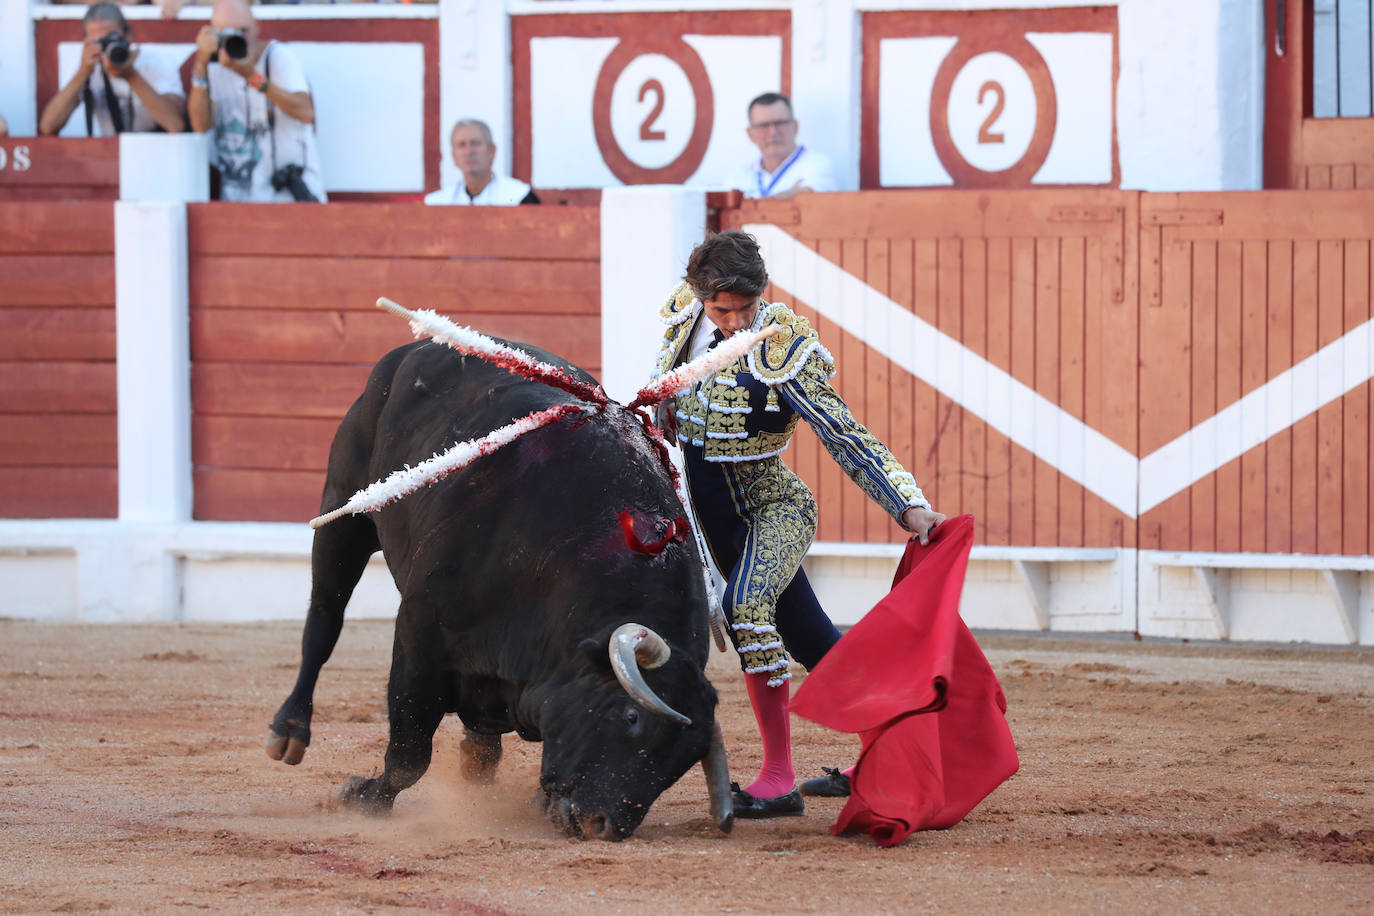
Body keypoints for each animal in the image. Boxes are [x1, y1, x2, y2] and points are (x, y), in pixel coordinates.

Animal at [270, 340, 741, 840]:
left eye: (683, 761)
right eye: (630, 717)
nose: (603, 824)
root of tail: (414, 348)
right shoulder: (419, 633)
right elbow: (409, 753)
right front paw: (361, 798)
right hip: (344, 511)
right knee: (325, 618)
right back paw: (289, 730)